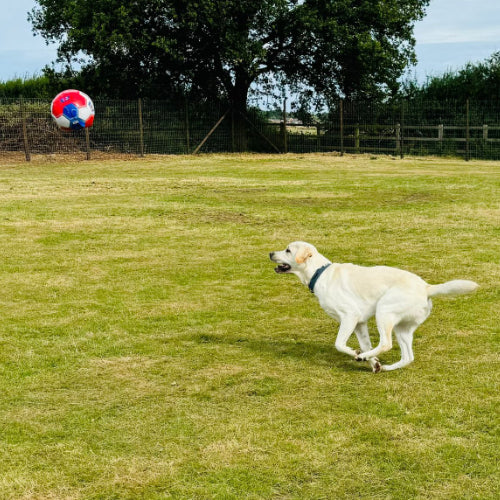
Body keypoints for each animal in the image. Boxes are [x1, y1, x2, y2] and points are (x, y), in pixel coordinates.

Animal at [268, 240, 478, 374]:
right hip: (402, 329)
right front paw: (372, 362)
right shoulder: (360, 324)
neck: (320, 273)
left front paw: (357, 354)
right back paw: (385, 367)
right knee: (407, 357)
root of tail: (426, 287)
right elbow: (366, 345)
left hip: (383, 312)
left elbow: (340, 344)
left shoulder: (350, 316)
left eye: (287, 250)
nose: (270, 253)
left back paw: (364, 358)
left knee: (386, 343)